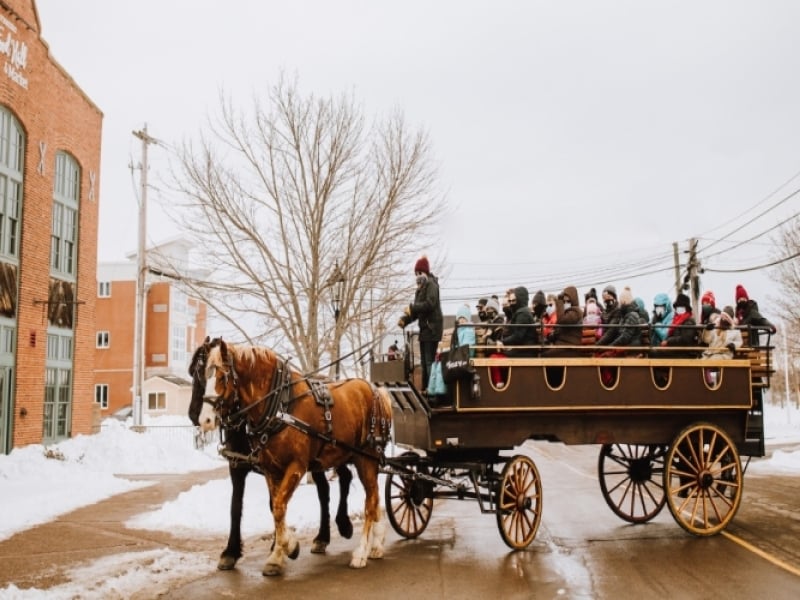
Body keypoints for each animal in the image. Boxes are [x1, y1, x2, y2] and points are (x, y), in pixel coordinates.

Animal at [195, 338, 392, 576]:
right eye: (203, 375)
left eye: (223, 377)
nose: (204, 420)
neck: (281, 405)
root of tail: (376, 390)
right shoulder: (270, 469)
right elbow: (275, 508)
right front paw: (279, 554)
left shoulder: (296, 467)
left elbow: (279, 506)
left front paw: (287, 547)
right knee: (372, 496)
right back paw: (377, 544)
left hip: (366, 459)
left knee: (369, 501)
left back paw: (361, 552)